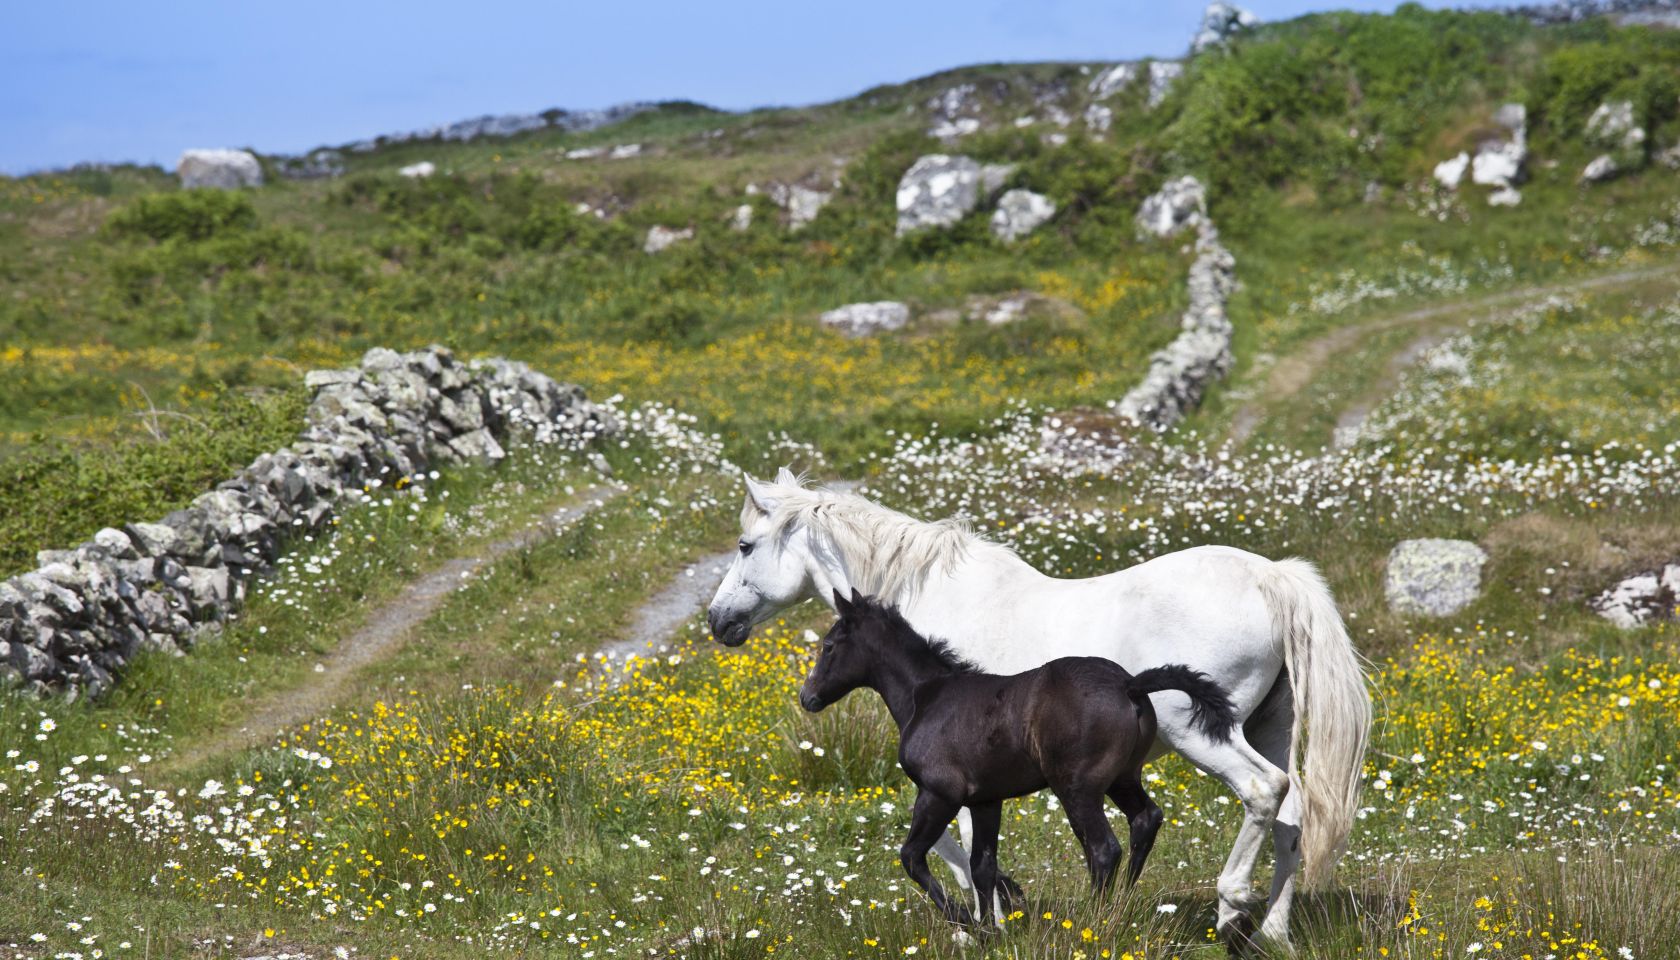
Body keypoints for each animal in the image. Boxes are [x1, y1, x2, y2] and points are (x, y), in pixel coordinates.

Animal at [800, 588, 1239, 927]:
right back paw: (1121, 906)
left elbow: (912, 857)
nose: (808, 698)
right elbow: (982, 865)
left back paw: (1093, 918)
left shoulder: (939, 793)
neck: (925, 697)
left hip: (1077, 788)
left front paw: (965, 919)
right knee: (1145, 820)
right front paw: (991, 927)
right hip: (1122, 777)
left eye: (828, 646)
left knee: (1103, 849)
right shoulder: (985, 800)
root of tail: (1129, 684)